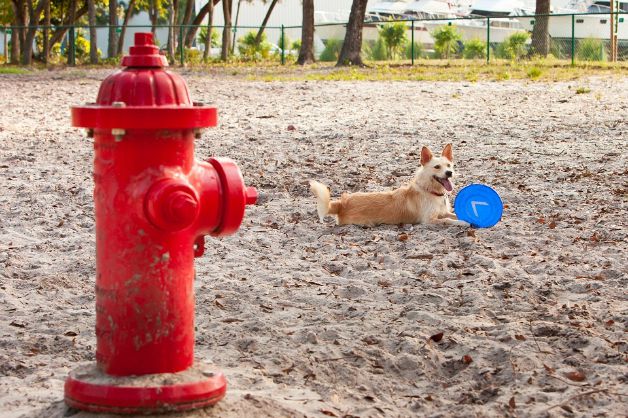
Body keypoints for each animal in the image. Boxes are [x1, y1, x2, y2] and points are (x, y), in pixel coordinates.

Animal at [312, 145, 468, 229]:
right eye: (437, 167)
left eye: (449, 165)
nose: (449, 173)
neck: (430, 191)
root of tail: (342, 203)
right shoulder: (429, 221)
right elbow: (448, 220)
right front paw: (463, 222)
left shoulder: (443, 213)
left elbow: (452, 215)